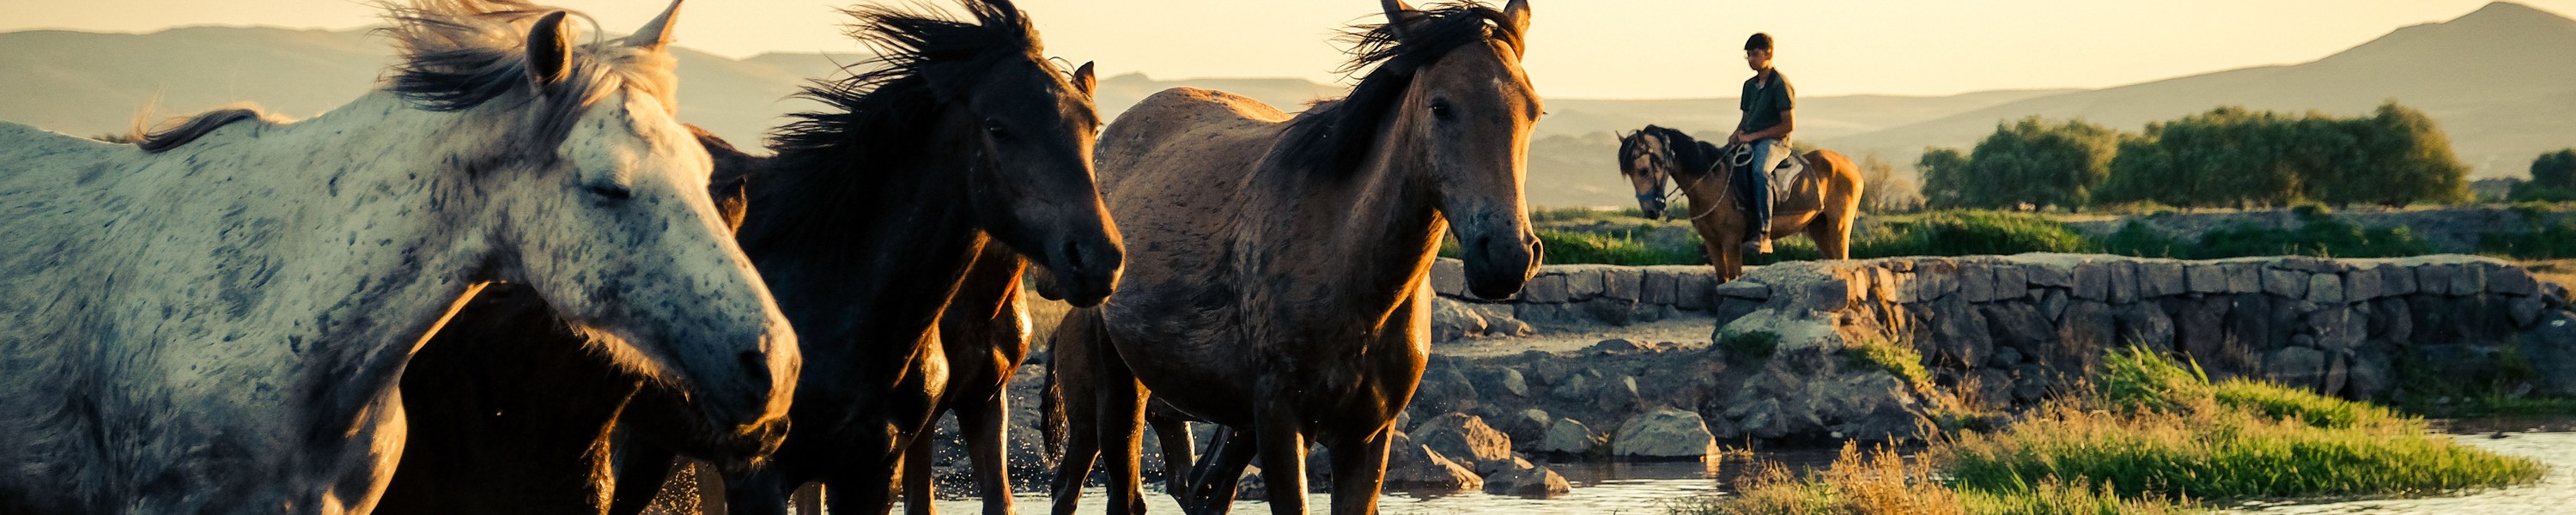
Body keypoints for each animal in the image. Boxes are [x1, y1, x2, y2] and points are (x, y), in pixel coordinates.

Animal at [376, 0, 1121, 514]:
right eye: (998, 127)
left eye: (1091, 125)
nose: (1098, 259)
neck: (839, 295)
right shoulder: (761, 476)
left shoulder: (870, 471)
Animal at [1041, 1, 1542, 514]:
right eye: (1441, 106)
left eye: (1533, 110)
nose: (1506, 255)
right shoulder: (1281, 423)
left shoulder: (1367, 437)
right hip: (1119, 394)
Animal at [1615, 124, 1862, 282]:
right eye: (1630, 173)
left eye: (1643, 170)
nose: (1651, 210)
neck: (1711, 182)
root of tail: (1850, 165)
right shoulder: (1713, 243)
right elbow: (1722, 281)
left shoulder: (1731, 241)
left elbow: (1734, 278)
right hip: (1819, 227)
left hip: (1840, 226)